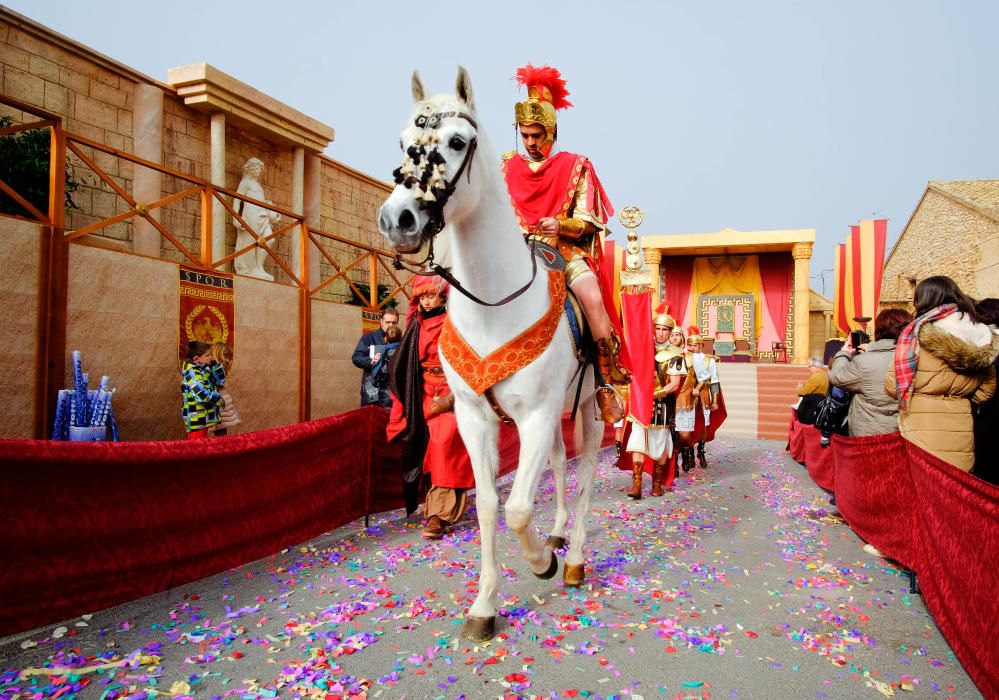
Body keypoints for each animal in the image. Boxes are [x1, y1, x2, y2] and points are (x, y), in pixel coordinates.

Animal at [380, 68, 600, 644]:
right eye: (404, 143)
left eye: (458, 142)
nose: (398, 218)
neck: (493, 303)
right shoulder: (474, 418)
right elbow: (486, 506)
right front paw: (484, 605)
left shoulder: (537, 414)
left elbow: (519, 508)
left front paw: (542, 563)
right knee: (560, 462)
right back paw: (559, 533)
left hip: (591, 404)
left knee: (587, 469)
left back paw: (572, 556)